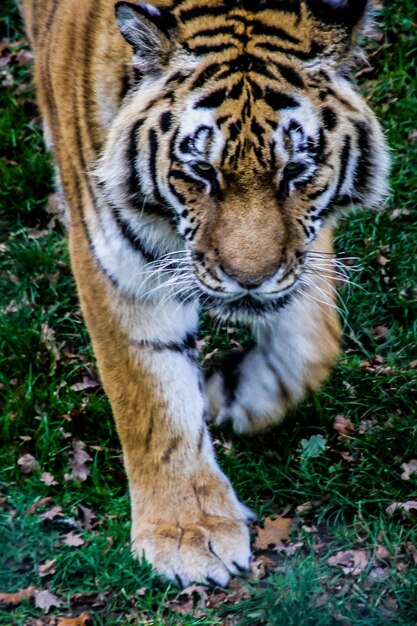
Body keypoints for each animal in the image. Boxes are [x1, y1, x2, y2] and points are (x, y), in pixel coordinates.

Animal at [21, 0, 388, 584]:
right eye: (201, 172)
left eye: (296, 171)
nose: (249, 278)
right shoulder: (119, 263)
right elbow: (151, 398)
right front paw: (187, 534)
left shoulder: (304, 252)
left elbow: (312, 342)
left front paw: (239, 396)